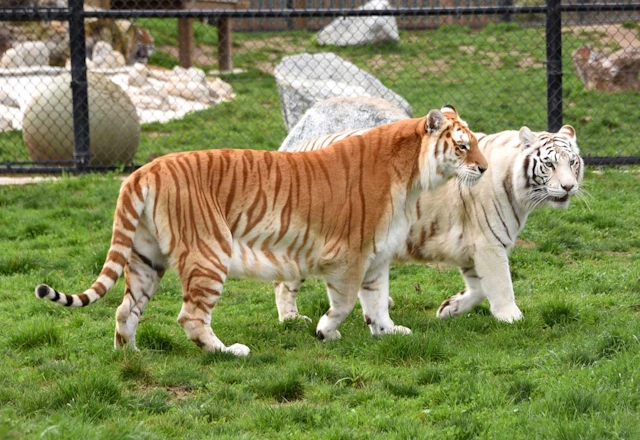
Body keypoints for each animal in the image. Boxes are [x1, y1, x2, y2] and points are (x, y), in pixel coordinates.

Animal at [35, 105, 488, 356]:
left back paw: (130, 357)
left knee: (125, 310)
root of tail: (142, 170)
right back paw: (228, 352)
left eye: (478, 144)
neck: (412, 177)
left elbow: (377, 302)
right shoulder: (350, 256)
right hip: (209, 253)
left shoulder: (376, 257)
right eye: (463, 146)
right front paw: (325, 332)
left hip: (146, 258)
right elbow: (343, 303)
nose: (484, 169)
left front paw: (388, 332)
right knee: (190, 317)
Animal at [274, 124, 584, 323]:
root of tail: (299, 146)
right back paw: (291, 318)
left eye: (573, 162)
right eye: (550, 164)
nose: (569, 187)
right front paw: (512, 317)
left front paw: (449, 308)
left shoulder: (471, 246)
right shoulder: (488, 243)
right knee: (284, 282)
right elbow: (500, 283)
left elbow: (478, 288)